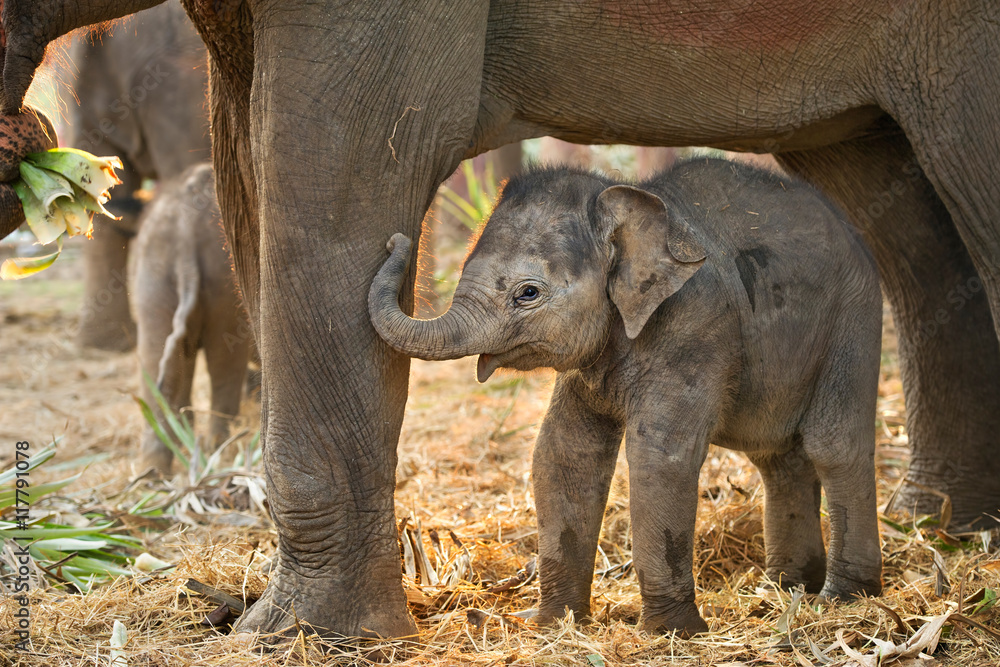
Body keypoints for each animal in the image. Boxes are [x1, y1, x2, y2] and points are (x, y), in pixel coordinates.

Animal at [132, 163, 251, 474]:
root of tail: (186, 227)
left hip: (153, 278)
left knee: (157, 357)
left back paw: (153, 471)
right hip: (224, 284)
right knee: (224, 360)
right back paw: (218, 449)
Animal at [369, 161, 884, 635]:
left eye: (528, 293)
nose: (396, 241)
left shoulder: (696, 324)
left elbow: (660, 456)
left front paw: (672, 633)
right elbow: (563, 453)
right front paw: (553, 623)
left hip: (853, 321)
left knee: (833, 445)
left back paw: (843, 598)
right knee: (778, 457)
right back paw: (783, 587)